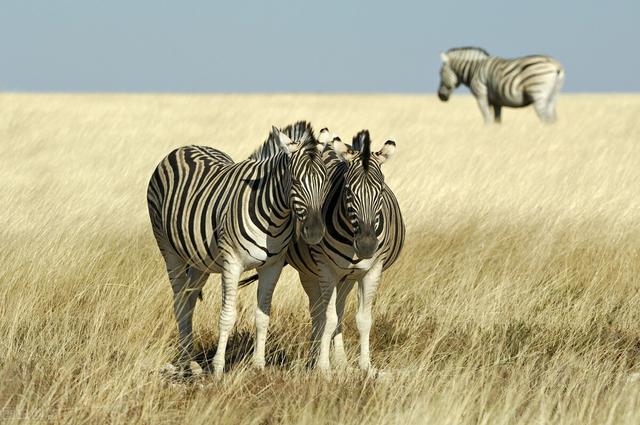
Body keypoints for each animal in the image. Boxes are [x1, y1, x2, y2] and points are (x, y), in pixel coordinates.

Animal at [147, 121, 328, 374]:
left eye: (327, 182)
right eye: (294, 181)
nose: (315, 233)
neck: (274, 216)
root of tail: (185, 147)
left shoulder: (273, 265)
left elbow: (263, 315)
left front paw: (258, 365)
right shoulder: (231, 262)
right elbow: (227, 315)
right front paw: (218, 368)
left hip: (200, 260)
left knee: (189, 299)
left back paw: (191, 361)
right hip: (169, 250)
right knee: (180, 302)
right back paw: (184, 361)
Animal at [240, 128, 404, 372]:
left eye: (381, 190)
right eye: (348, 191)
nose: (366, 246)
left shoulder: (373, 269)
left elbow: (363, 319)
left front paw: (365, 367)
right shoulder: (327, 269)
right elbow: (328, 319)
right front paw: (323, 367)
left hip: (347, 277)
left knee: (338, 308)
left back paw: (341, 361)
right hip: (311, 272)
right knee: (318, 312)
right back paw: (315, 358)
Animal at [436, 46, 564, 123]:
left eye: (440, 73)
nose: (440, 96)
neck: (474, 70)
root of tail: (555, 64)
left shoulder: (481, 95)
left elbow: (487, 119)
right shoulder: (496, 102)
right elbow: (497, 121)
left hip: (538, 94)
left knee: (545, 118)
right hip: (553, 96)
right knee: (552, 118)